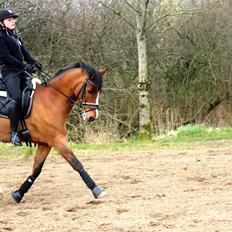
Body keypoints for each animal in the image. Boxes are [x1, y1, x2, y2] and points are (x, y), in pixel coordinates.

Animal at [0, 61, 107, 203]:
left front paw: (18, 194)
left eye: (100, 91)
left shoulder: (46, 143)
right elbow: (76, 163)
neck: (52, 98)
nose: (92, 117)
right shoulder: (57, 139)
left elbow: (36, 169)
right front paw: (96, 189)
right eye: (90, 90)